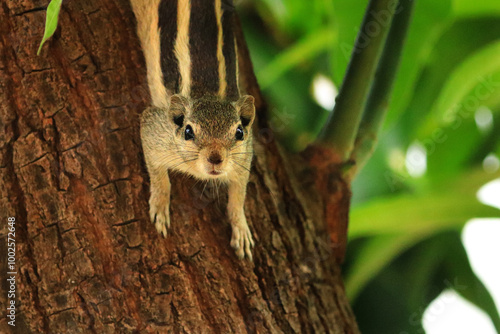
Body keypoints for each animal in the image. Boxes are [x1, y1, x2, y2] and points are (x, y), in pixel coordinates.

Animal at [131, 0, 256, 260]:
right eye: (188, 132)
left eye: (239, 132)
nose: (216, 159)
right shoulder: (153, 130)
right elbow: (159, 174)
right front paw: (160, 205)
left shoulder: (245, 156)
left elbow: (238, 196)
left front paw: (241, 229)